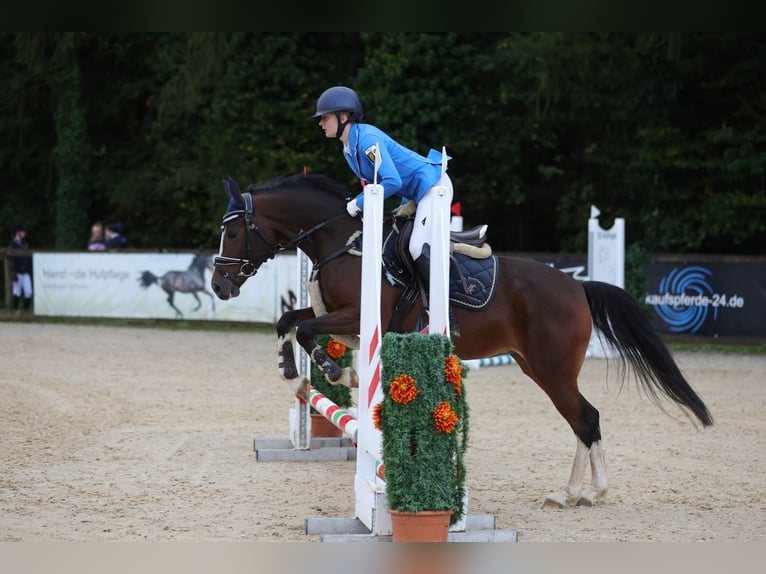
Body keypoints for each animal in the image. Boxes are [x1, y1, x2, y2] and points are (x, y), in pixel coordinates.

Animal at [210, 172, 712, 508]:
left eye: (232, 231)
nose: (219, 286)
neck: (343, 240)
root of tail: (577, 287)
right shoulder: (338, 318)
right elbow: (288, 321)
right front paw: (293, 374)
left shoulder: (359, 317)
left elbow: (308, 331)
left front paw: (337, 372)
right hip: (535, 366)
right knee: (585, 419)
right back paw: (585, 492)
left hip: (551, 370)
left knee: (585, 418)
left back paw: (575, 493)